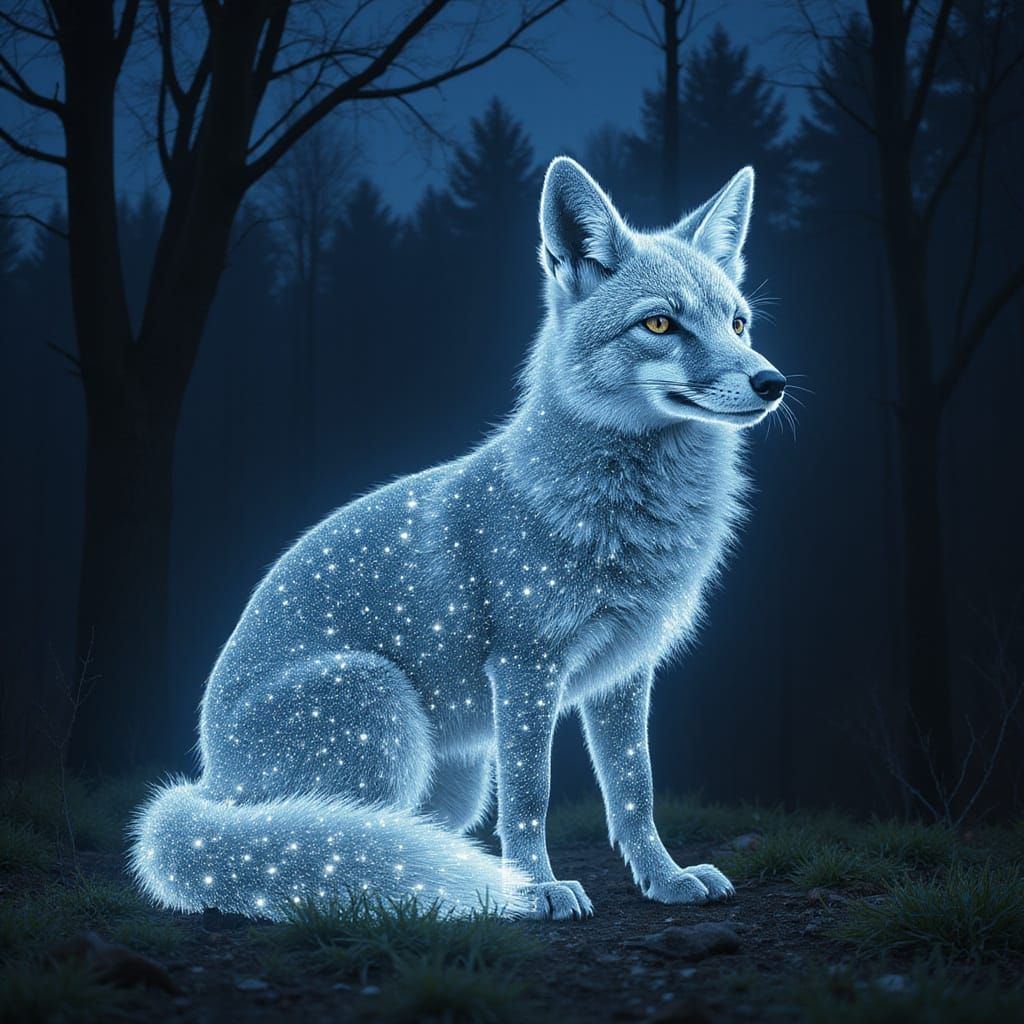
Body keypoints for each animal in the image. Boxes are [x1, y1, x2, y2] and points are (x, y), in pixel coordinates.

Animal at [132, 156, 787, 921]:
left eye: (738, 323)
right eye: (660, 323)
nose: (771, 381)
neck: (623, 521)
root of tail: (209, 779)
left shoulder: (623, 674)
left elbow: (634, 792)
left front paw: (664, 879)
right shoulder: (527, 666)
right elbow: (532, 796)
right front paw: (535, 888)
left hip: (454, 775)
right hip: (381, 705)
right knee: (328, 851)